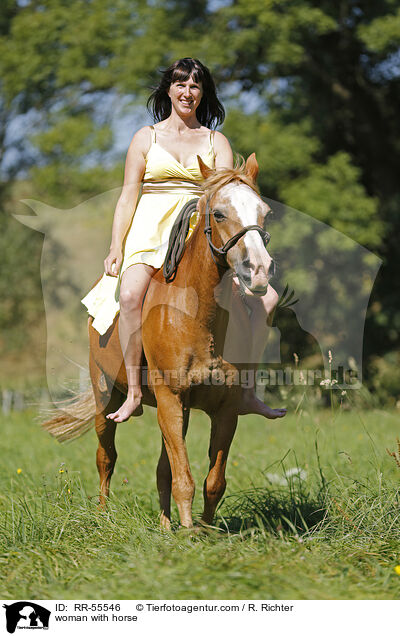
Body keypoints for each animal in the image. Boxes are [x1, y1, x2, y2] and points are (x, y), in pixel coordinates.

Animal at [42, 153, 276, 528]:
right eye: (219, 213)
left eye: (264, 212)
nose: (258, 269)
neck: (201, 318)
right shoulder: (170, 398)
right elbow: (184, 480)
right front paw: (189, 533)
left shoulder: (223, 409)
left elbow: (212, 481)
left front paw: (204, 531)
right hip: (106, 398)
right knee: (106, 457)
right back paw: (103, 516)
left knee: (161, 469)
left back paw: (165, 527)